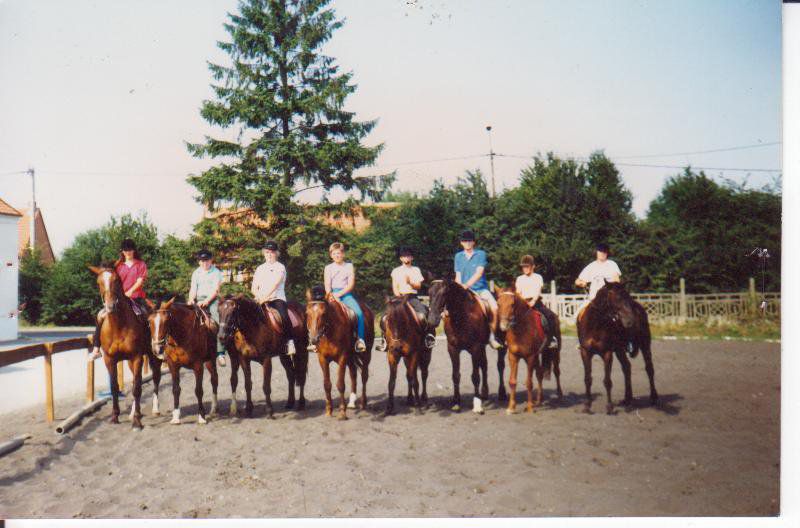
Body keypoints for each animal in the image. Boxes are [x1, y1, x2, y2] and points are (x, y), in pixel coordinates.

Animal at [88, 265, 161, 429]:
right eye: (98, 282)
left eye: (116, 280)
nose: (110, 306)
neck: (118, 326)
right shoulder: (110, 360)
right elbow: (115, 387)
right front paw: (115, 416)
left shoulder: (137, 358)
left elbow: (137, 388)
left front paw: (137, 422)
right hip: (129, 362)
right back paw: (133, 412)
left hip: (153, 356)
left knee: (155, 378)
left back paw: (155, 409)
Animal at [305, 288, 374, 420]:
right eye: (307, 313)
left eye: (324, 313)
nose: (314, 339)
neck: (329, 333)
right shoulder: (322, 358)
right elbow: (327, 384)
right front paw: (329, 411)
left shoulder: (342, 357)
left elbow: (340, 384)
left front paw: (342, 412)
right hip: (351, 358)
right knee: (353, 374)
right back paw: (352, 403)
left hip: (366, 354)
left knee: (364, 376)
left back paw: (363, 403)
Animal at [427, 277, 507, 414]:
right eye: (429, 293)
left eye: (444, 293)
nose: (432, 320)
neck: (462, 315)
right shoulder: (453, 349)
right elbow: (455, 375)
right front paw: (456, 402)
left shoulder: (475, 348)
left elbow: (475, 376)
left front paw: (477, 405)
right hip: (482, 348)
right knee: (484, 365)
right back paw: (484, 393)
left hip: (501, 346)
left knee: (500, 366)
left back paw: (502, 393)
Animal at [495, 285, 562, 414]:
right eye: (498, 304)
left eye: (512, 304)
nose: (503, 326)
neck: (520, 330)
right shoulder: (513, 356)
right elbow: (512, 381)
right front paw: (511, 407)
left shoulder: (530, 357)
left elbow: (529, 382)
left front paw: (530, 407)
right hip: (536, 356)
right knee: (539, 373)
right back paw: (539, 399)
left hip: (555, 352)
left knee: (556, 371)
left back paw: (559, 394)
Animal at [576, 281, 658, 414]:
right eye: (618, 298)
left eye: (628, 297)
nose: (630, 321)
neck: (595, 324)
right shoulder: (585, 352)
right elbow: (587, 379)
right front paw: (587, 406)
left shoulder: (607, 353)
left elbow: (607, 381)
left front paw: (609, 407)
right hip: (620, 349)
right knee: (627, 367)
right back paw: (628, 400)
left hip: (645, 343)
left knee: (649, 368)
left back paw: (654, 398)